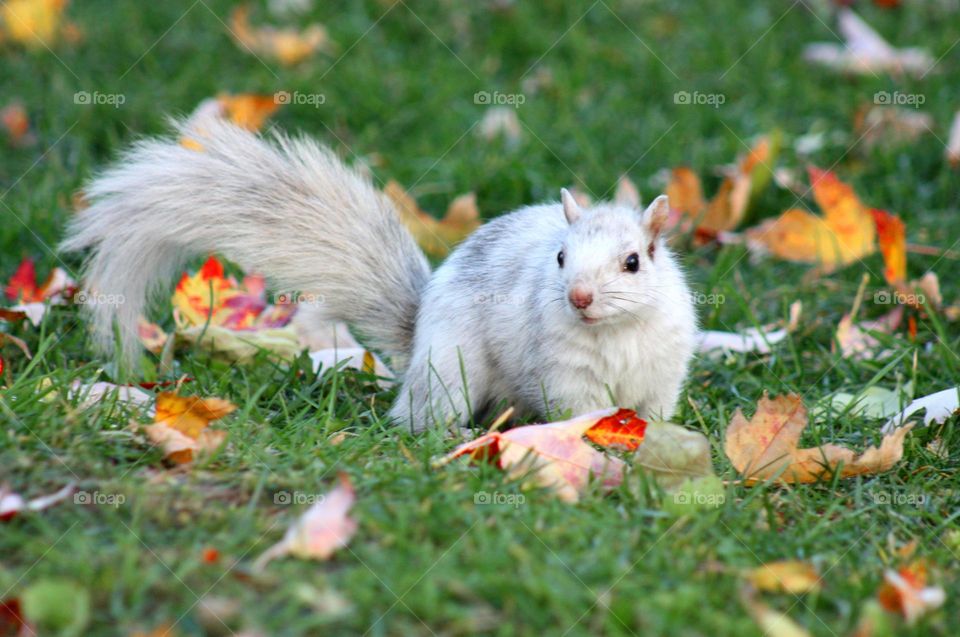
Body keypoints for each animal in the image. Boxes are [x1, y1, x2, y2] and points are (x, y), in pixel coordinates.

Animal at [62, 119, 696, 432]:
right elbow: (580, 411)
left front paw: (653, 442)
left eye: (635, 261)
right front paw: (598, 443)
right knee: (424, 415)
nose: (579, 297)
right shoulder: (565, 374)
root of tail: (416, 340)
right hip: (450, 370)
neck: (613, 333)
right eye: (561, 258)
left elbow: (656, 412)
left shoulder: (663, 371)